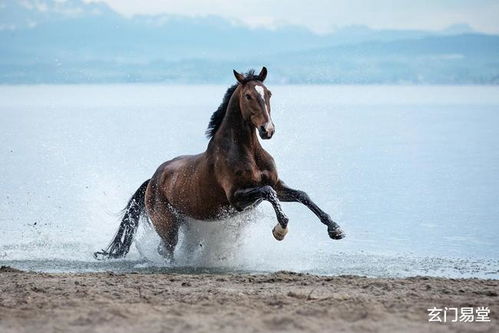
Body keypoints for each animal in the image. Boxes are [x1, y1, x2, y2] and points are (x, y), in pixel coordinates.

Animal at [94, 67, 344, 260]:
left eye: (269, 93)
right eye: (248, 96)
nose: (268, 130)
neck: (247, 151)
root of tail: (152, 179)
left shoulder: (277, 185)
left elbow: (301, 195)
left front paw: (335, 229)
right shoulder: (236, 198)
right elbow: (268, 192)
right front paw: (280, 229)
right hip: (167, 224)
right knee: (165, 249)